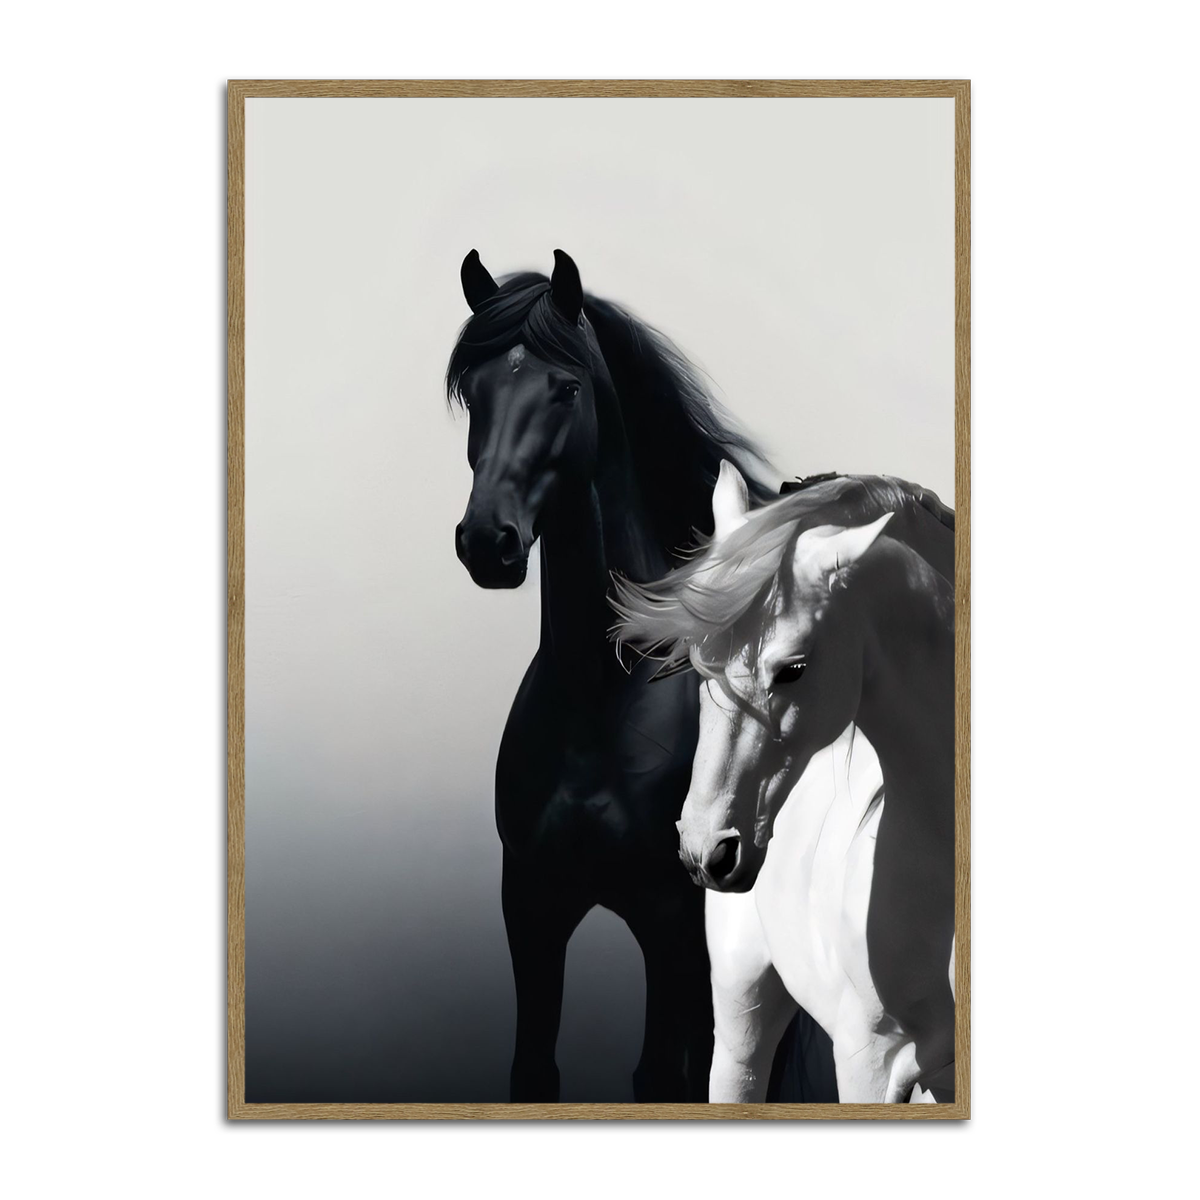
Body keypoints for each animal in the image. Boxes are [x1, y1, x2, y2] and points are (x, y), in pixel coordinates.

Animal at [446, 249, 790, 1101]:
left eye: (565, 389)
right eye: (474, 392)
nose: (488, 542)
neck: (600, 705)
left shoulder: (671, 925)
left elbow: (664, 1074)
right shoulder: (531, 908)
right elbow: (533, 1068)